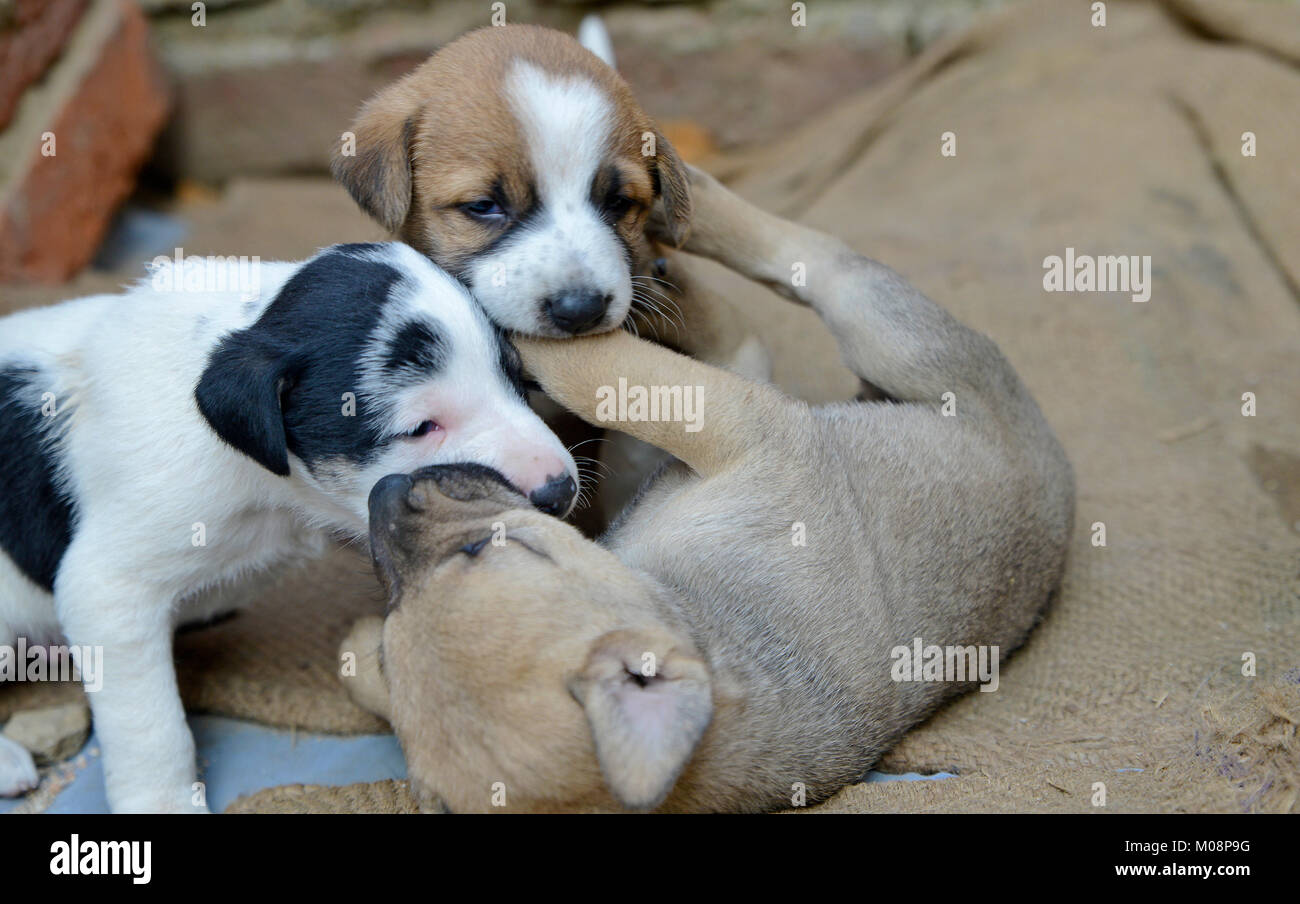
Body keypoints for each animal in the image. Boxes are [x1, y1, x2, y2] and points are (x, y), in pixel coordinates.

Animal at [0, 241, 574, 811]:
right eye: (419, 428)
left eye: (518, 379)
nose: (561, 490)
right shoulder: (108, 591)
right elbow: (152, 727)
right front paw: (164, 802)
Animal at [338, 169, 1076, 811]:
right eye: (395, 633)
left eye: (485, 550)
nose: (387, 494)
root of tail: (1061, 475)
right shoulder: (738, 418)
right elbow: (616, 366)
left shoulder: (732, 424)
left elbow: (595, 368)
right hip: (896, 337)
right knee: (811, 263)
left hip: (888, 337)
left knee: (813, 260)